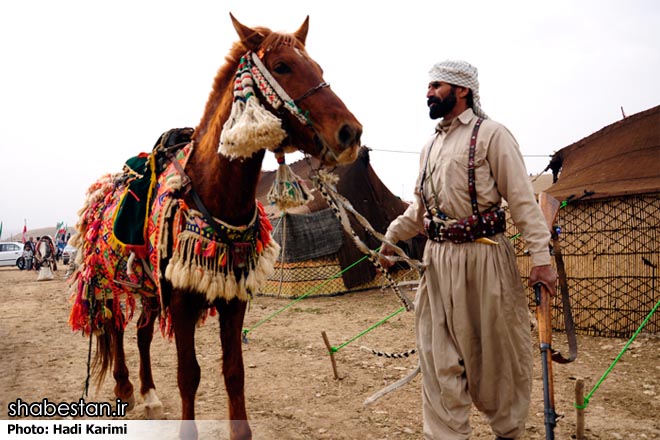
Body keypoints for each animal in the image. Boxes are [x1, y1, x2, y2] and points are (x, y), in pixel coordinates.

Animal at [67, 13, 360, 440]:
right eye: (282, 66)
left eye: (319, 68)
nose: (350, 133)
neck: (214, 191)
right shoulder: (182, 301)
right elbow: (189, 374)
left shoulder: (233, 298)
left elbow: (233, 372)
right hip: (109, 281)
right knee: (117, 328)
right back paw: (124, 389)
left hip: (149, 289)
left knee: (141, 333)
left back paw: (149, 395)